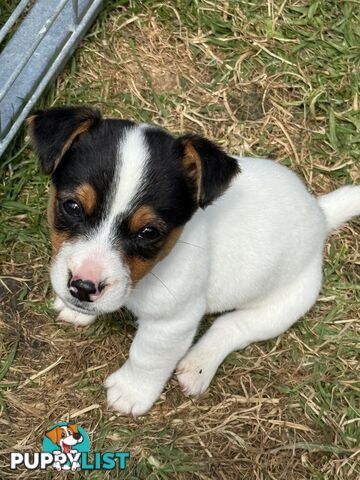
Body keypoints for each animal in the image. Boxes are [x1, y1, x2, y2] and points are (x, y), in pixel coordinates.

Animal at [28, 106, 360, 416]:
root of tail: (320, 215)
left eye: (149, 232)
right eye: (72, 206)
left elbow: (146, 357)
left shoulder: (172, 322)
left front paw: (131, 392)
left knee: (232, 326)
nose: (83, 288)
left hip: (286, 303)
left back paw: (198, 365)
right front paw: (76, 310)